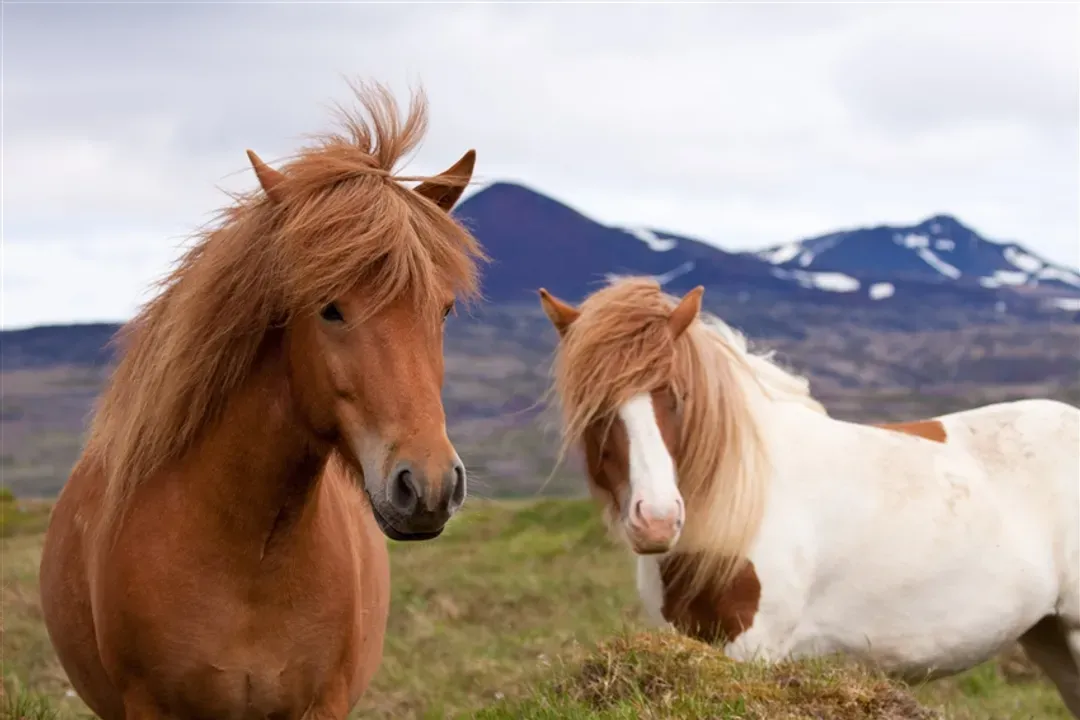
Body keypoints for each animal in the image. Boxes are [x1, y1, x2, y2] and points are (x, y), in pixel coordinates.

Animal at [538, 276, 1080, 716]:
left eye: (677, 396)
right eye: (594, 408)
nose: (656, 521)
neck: (739, 506)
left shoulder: (755, 650)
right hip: (1048, 635)